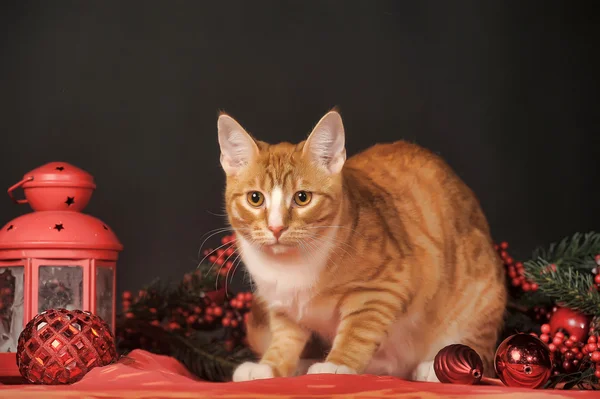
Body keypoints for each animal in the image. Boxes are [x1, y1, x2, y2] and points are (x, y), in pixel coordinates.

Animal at [216, 110, 506, 384]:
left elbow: (357, 331)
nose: (276, 228)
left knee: (481, 356)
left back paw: (442, 369)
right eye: (255, 198)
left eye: (302, 198)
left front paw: (337, 365)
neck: (288, 267)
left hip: (481, 298)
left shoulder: (384, 287)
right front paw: (270, 366)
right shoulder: (281, 306)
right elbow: (285, 339)